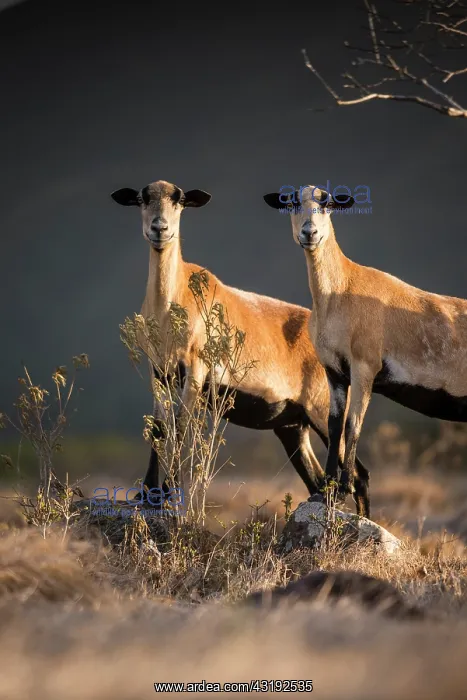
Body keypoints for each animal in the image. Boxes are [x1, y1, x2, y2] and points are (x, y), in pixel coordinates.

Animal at [111, 180, 370, 514]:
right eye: (143, 198)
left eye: (179, 200)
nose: (159, 228)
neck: (171, 304)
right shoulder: (159, 370)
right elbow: (159, 428)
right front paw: (146, 495)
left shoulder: (195, 369)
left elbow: (180, 426)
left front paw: (167, 492)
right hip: (292, 426)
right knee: (314, 479)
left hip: (321, 410)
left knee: (360, 476)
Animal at [264, 184, 467, 506]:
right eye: (293, 202)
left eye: (327, 203)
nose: (309, 233)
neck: (341, 290)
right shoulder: (334, 371)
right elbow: (335, 425)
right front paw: (328, 488)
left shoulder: (364, 368)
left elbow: (353, 425)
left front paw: (344, 486)